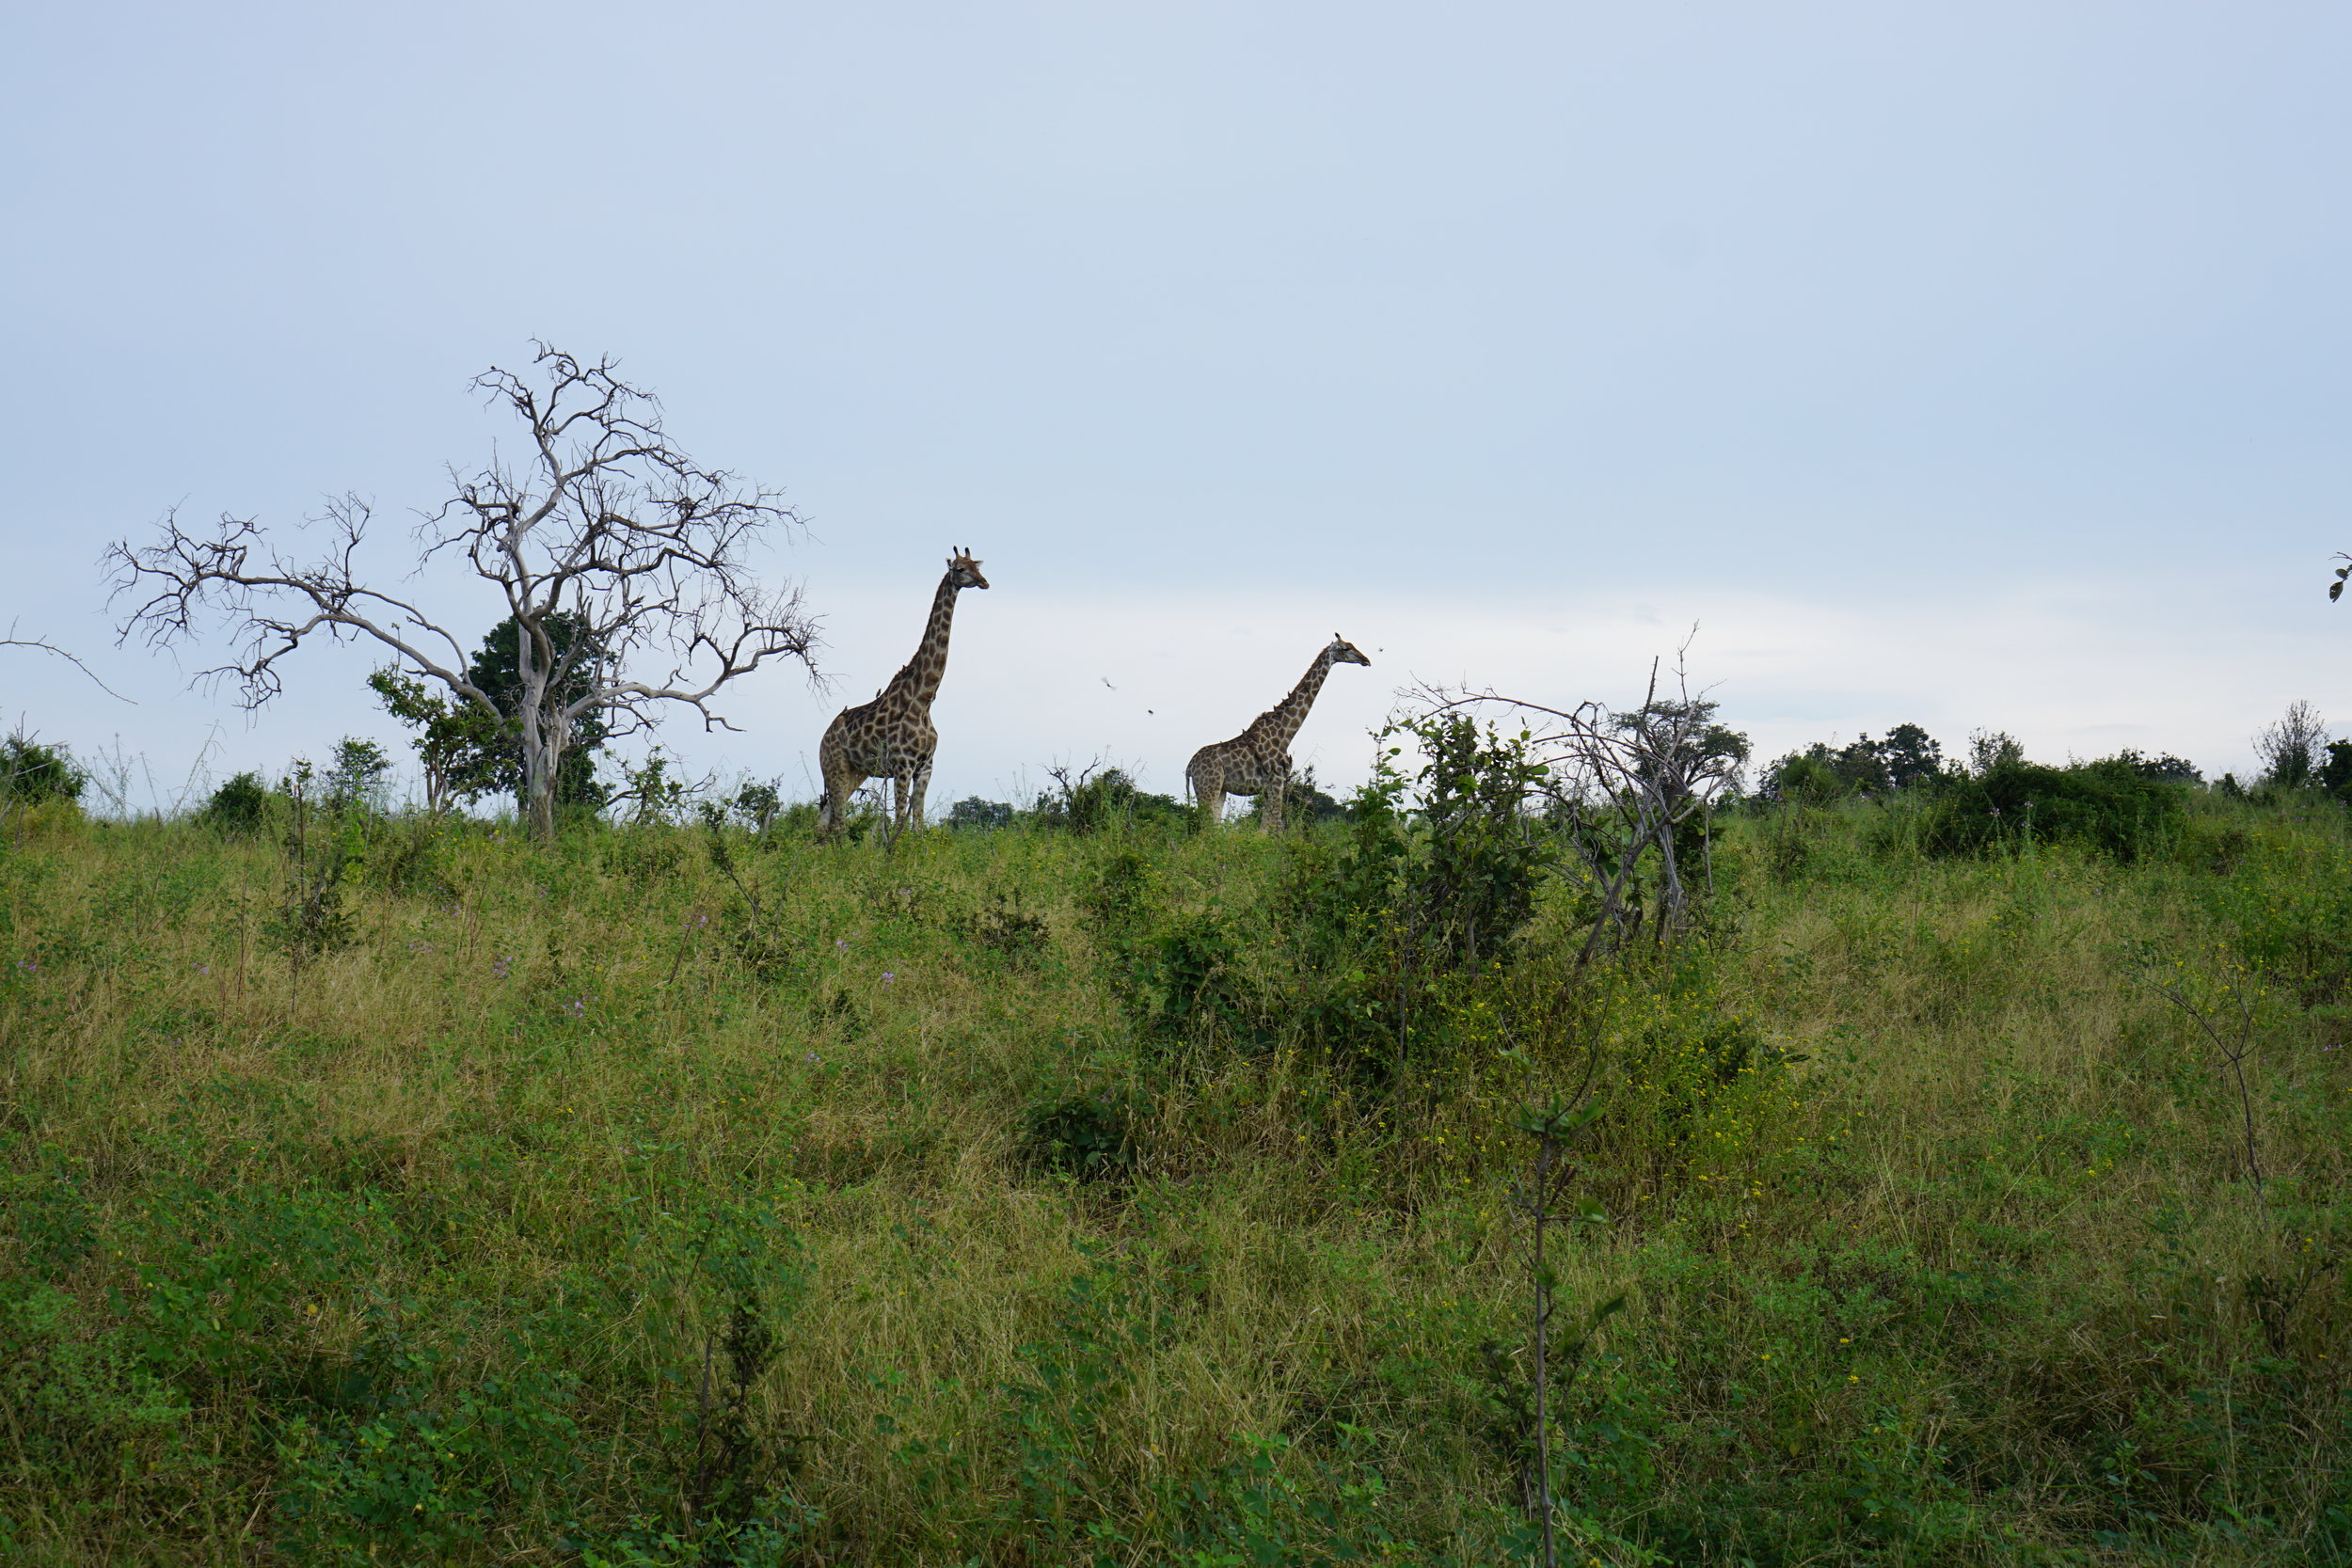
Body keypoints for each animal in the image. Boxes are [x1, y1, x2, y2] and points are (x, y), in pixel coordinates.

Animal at [817, 549, 990, 837]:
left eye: (976, 566)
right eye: (960, 569)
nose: (984, 582)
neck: (923, 700)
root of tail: (822, 738)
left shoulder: (925, 767)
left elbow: (917, 825)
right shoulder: (902, 765)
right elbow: (899, 823)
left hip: (856, 772)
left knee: (823, 822)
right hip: (835, 768)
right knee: (838, 825)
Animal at [1185, 634, 1371, 831]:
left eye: (1352, 645)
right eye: (1345, 648)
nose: (1366, 660)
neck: (1285, 733)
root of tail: (1189, 767)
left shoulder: (1270, 787)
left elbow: (1266, 827)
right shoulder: (1276, 782)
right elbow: (1275, 825)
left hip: (1220, 790)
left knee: (1214, 827)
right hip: (1208, 788)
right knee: (1205, 829)